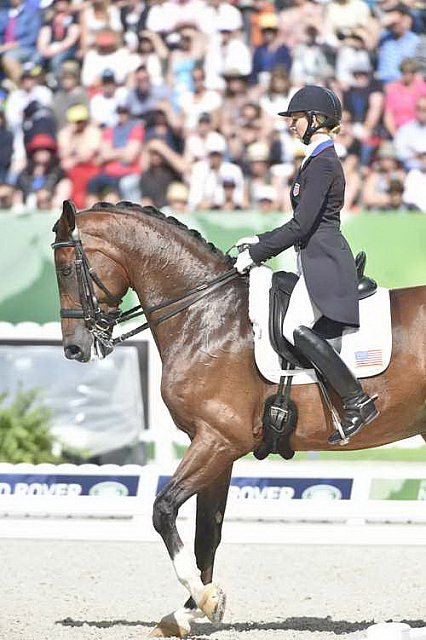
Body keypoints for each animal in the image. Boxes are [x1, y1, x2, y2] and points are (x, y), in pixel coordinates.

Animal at [53, 199, 426, 636]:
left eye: (65, 269)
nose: (74, 350)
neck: (204, 316)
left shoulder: (218, 439)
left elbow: (163, 510)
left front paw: (205, 600)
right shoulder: (217, 448)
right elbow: (206, 533)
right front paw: (185, 613)